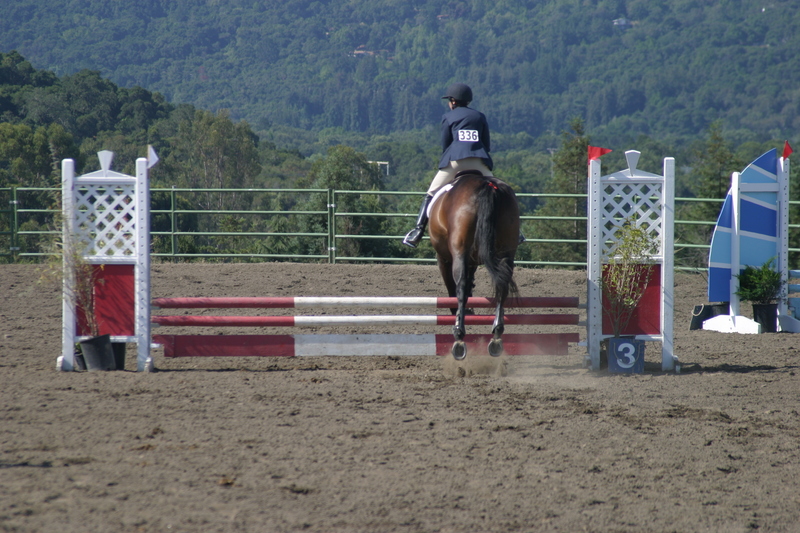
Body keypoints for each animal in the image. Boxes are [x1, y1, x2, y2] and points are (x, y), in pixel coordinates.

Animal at [428, 170, 520, 360]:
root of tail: (488, 186)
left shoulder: (444, 258)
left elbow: (454, 287)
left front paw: (457, 312)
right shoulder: (473, 261)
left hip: (459, 252)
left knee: (461, 286)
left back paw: (459, 336)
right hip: (507, 252)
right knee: (502, 286)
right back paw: (496, 335)